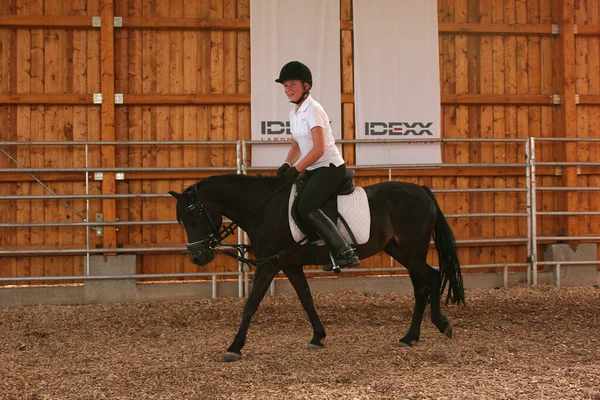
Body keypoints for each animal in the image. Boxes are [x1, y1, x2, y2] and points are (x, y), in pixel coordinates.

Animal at [169, 173, 464, 360]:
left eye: (193, 218)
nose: (197, 257)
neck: (264, 209)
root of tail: (421, 190)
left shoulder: (270, 265)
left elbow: (251, 304)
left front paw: (234, 347)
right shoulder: (290, 265)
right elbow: (306, 300)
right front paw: (317, 337)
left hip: (412, 251)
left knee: (427, 281)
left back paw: (430, 329)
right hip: (400, 250)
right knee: (425, 282)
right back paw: (417, 334)